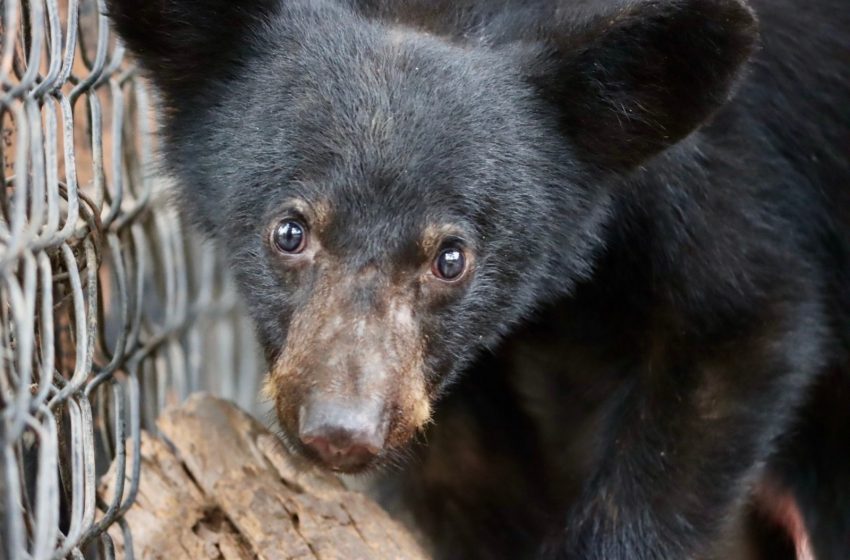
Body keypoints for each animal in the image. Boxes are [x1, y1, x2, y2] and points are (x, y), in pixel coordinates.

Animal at [106, 0, 848, 556]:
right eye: (289, 232)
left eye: (451, 257)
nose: (341, 429)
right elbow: (463, 480)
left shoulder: (725, 196)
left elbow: (743, 324)